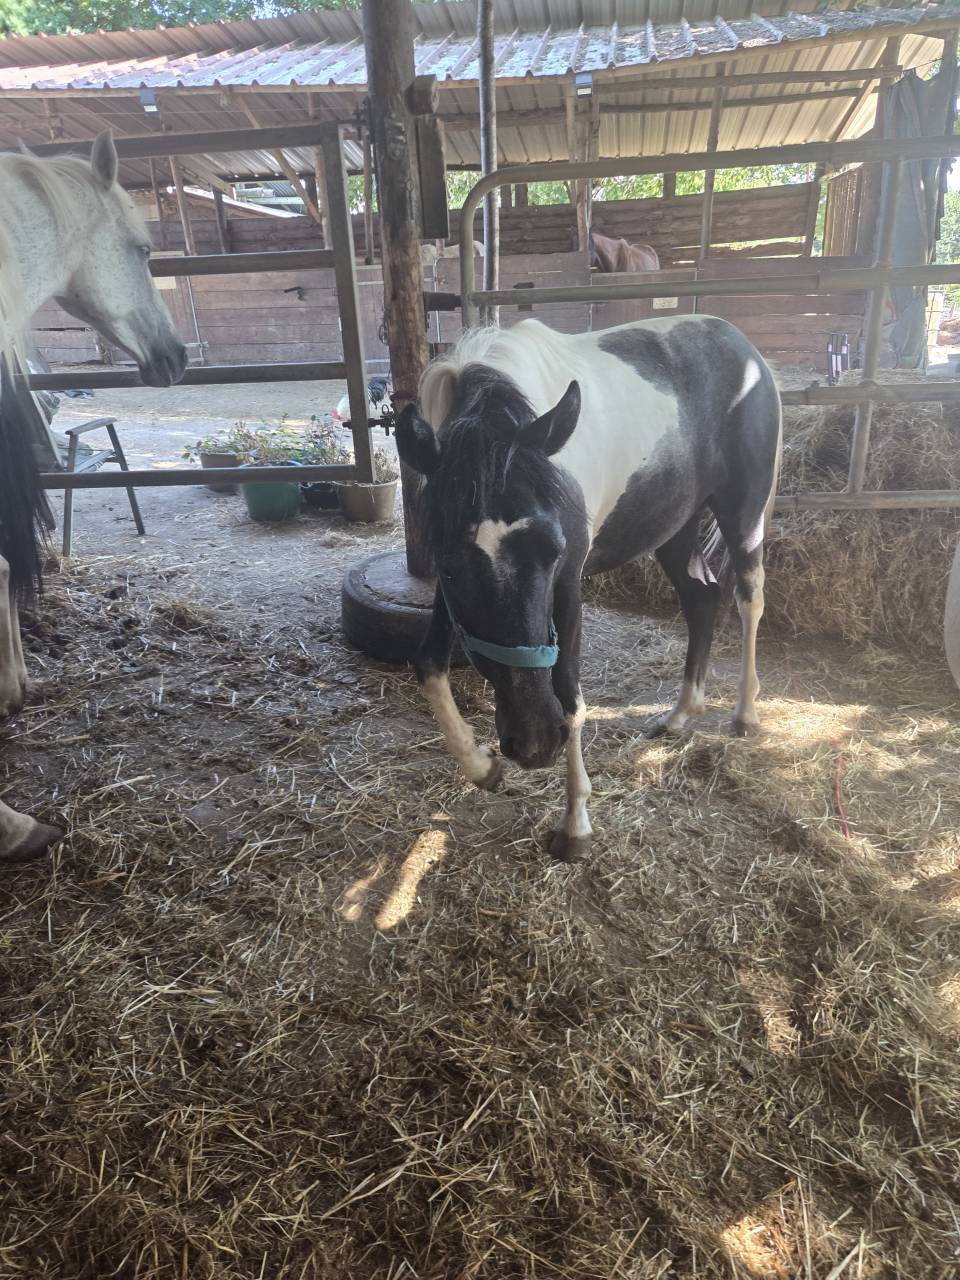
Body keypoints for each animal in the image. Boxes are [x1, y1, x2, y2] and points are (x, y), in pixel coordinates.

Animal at [395, 316, 781, 863]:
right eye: (446, 564)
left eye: (554, 551)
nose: (534, 743)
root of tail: (743, 347)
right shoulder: (451, 597)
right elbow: (429, 664)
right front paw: (481, 764)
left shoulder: (569, 586)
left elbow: (570, 694)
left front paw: (575, 824)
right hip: (673, 526)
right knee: (701, 601)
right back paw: (681, 715)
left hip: (743, 513)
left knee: (750, 599)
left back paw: (745, 713)